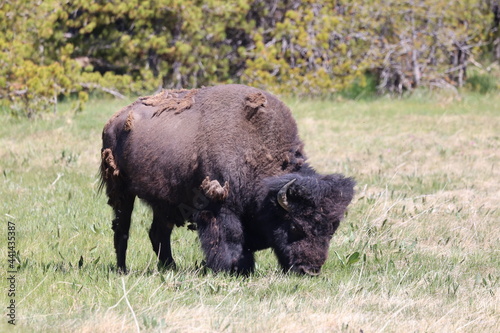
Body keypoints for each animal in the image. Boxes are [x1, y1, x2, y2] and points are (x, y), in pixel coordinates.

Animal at [99, 83, 354, 274]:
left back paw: (170, 268)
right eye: (295, 226)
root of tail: (114, 121)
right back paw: (122, 269)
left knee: (158, 233)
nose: (309, 270)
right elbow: (230, 236)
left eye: (332, 228)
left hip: (164, 202)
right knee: (122, 229)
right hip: (121, 191)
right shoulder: (219, 206)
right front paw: (233, 268)